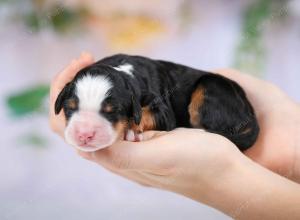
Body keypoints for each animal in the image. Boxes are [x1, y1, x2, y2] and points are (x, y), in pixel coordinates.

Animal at [55, 54, 258, 152]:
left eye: (112, 111)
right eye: (69, 108)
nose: (84, 135)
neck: (125, 72)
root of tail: (249, 111)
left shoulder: (163, 110)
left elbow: (147, 114)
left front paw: (132, 130)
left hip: (209, 86)